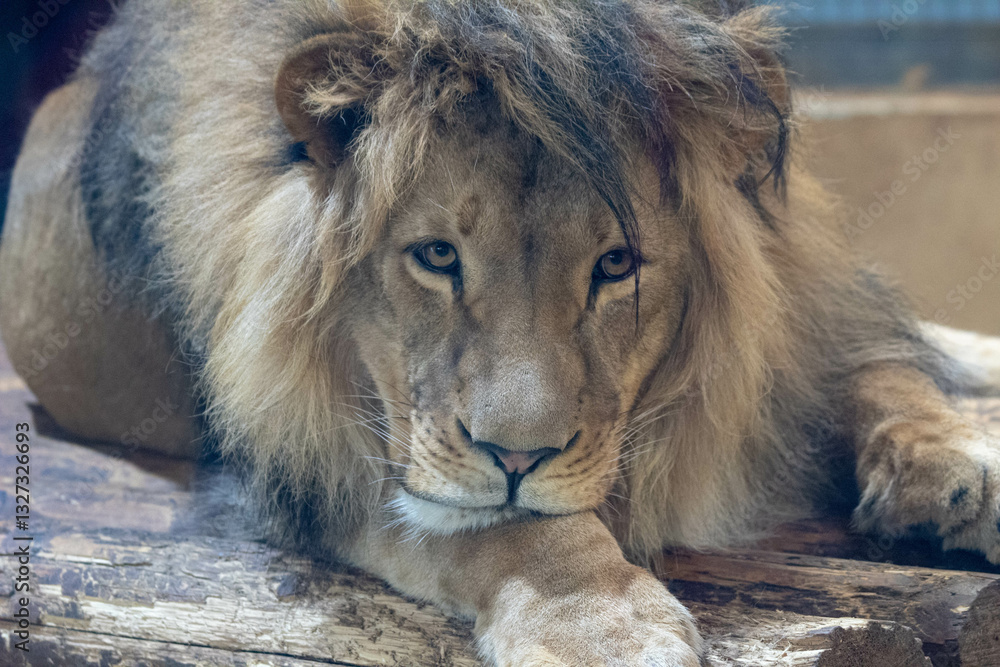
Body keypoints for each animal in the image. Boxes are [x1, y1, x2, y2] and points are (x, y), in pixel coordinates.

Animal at [2, 0, 999, 664]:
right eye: (438, 255)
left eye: (616, 264)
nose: (519, 455)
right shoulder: (302, 458)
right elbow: (493, 524)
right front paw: (604, 623)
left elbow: (877, 369)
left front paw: (962, 461)